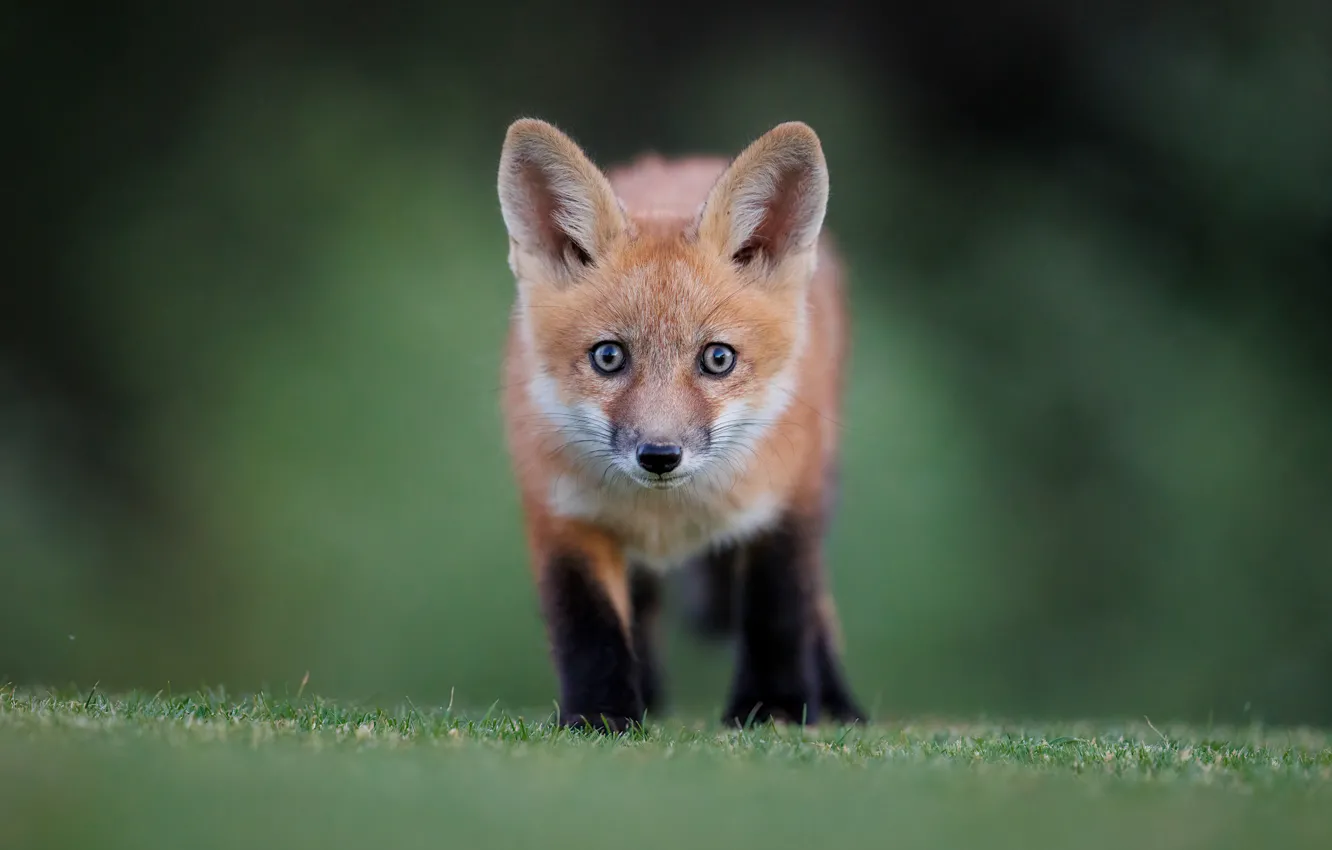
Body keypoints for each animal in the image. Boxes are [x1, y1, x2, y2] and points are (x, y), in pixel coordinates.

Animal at [496, 117, 865, 732]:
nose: (660, 455)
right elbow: (588, 626)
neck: (669, 515)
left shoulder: (789, 504)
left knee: (819, 605)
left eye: (718, 359)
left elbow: (779, 611)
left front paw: (775, 708)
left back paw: (837, 700)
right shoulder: (559, 513)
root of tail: (686, 162)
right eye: (608, 357)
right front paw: (601, 715)